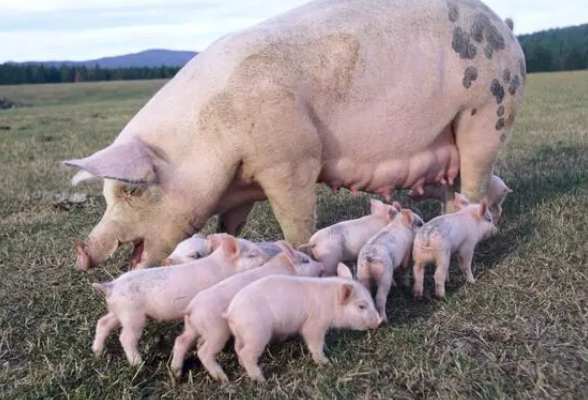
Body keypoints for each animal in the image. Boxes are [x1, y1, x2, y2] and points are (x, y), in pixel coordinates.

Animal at [62, 0, 524, 270]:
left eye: (132, 190)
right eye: (107, 194)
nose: (81, 251)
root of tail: (505, 26)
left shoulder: (292, 158)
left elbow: (296, 219)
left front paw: (302, 254)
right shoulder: (241, 181)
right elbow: (232, 223)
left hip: (487, 112)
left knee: (474, 183)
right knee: (463, 188)